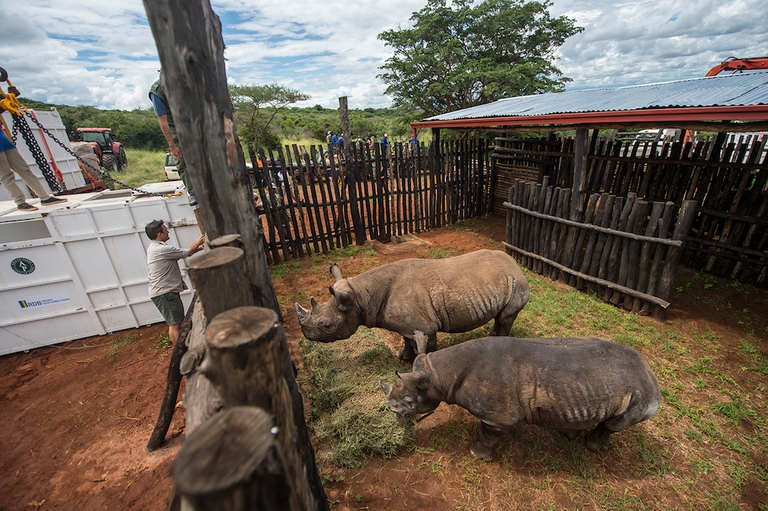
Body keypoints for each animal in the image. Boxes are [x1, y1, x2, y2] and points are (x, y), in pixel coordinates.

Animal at [294, 249, 529, 361]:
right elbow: (405, 340)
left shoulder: (426, 328)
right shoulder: (405, 326)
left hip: (517, 283)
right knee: (500, 315)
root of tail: (516, 264)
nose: (305, 334)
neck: (360, 296)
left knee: (507, 316)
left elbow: (427, 348)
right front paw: (403, 356)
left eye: (327, 326)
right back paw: (491, 334)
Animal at [379, 332, 660, 460]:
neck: (437, 375)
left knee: (615, 423)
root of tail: (650, 371)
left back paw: (592, 447)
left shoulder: (499, 416)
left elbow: (488, 433)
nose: (390, 409)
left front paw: (478, 455)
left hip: (644, 396)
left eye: (409, 403)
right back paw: (570, 434)